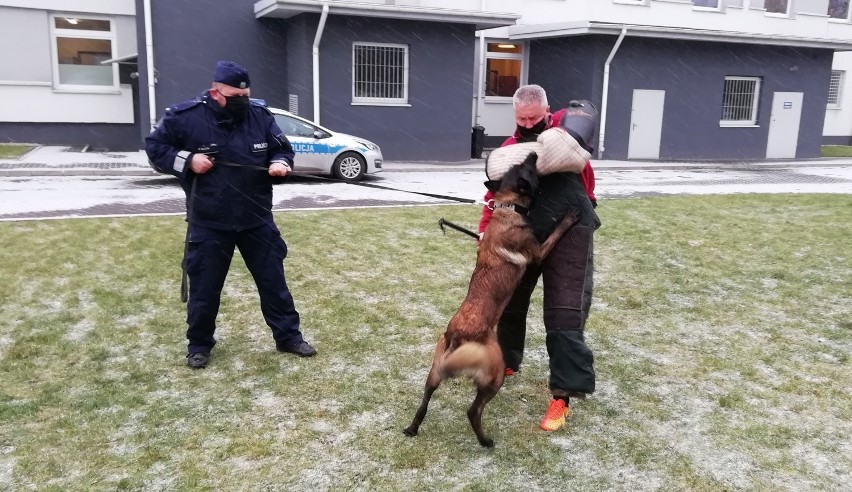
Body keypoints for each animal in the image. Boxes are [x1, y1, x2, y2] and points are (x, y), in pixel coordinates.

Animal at [402, 153, 580, 446]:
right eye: (527, 167)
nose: (533, 153)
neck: (508, 207)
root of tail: (458, 336)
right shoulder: (538, 251)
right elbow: (556, 232)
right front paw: (570, 216)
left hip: (434, 372)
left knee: (424, 402)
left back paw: (412, 428)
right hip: (495, 374)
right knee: (473, 411)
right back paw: (485, 441)